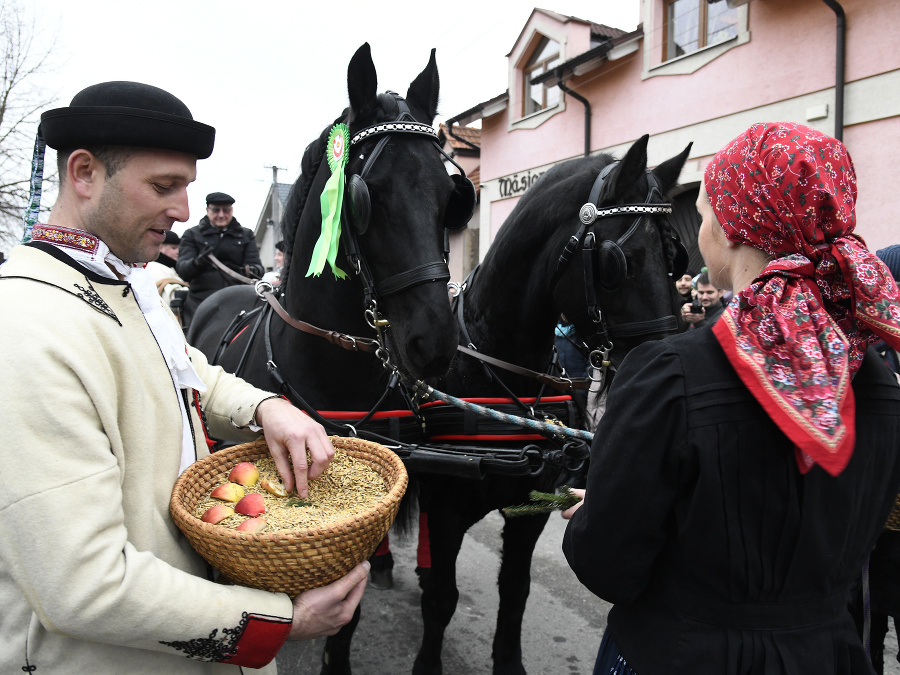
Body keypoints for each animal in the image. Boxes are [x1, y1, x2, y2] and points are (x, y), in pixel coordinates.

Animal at [412, 135, 692, 672]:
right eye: (617, 263)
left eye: (675, 256)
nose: (662, 369)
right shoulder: (446, 506)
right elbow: (440, 597)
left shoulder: (532, 507)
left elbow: (515, 591)